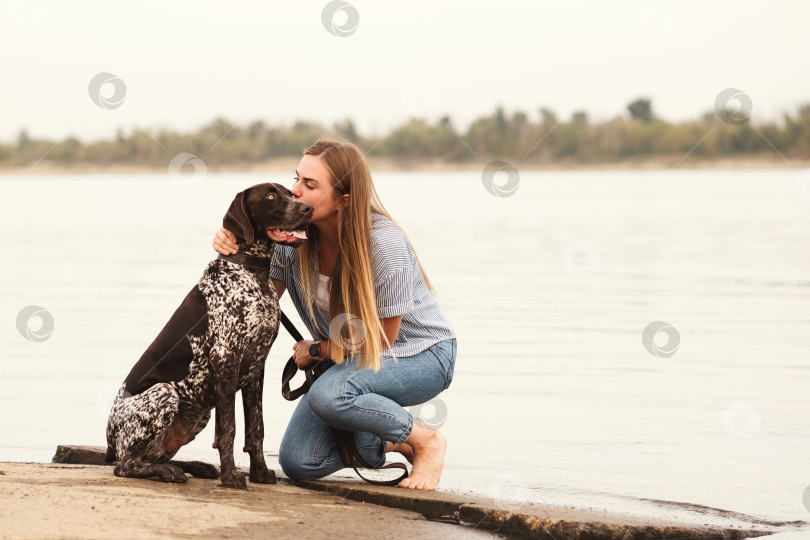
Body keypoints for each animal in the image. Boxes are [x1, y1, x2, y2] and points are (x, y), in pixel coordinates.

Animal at [105, 182, 312, 490]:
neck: (251, 274)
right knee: (127, 465)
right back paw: (168, 472)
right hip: (165, 394)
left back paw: (194, 466)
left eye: (292, 192)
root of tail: (109, 442)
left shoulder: (255, 366)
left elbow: (256, 429)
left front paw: (260, 473)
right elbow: (229, 429)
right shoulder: (225, 358)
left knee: (153, 456)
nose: (308, 208)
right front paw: (231, 477)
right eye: (271, 196)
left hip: (198, 415)